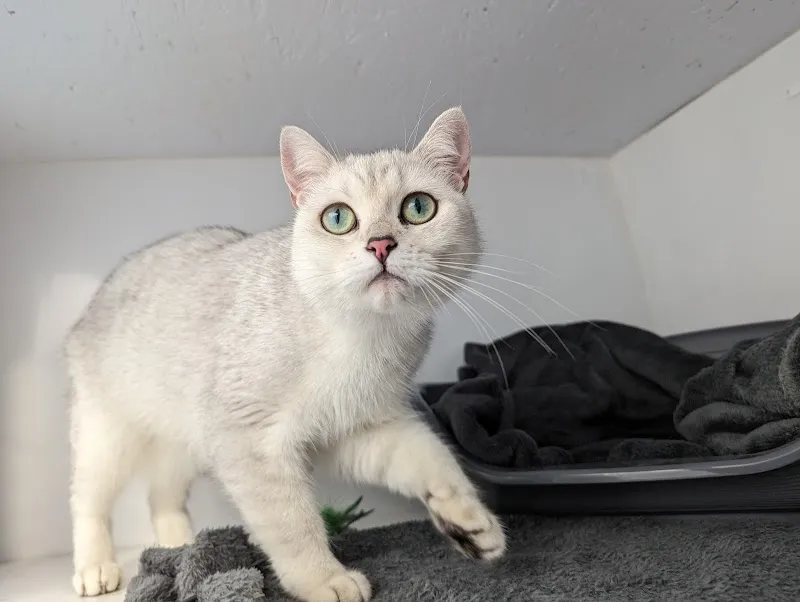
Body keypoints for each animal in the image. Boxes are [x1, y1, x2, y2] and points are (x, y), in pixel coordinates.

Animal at [67, 107, 506, 602]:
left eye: (418, 208)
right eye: (338, 217)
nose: (380, 245)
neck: (358, 336)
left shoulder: (355, 428)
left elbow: (428, 455)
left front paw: (469, 519)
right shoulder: (249, 438)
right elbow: (291, 523)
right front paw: (324, 579)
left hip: (183, 438)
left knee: (162, 491)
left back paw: (178, 543)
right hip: (108, 434)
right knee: (87, 499)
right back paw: (95, 566)